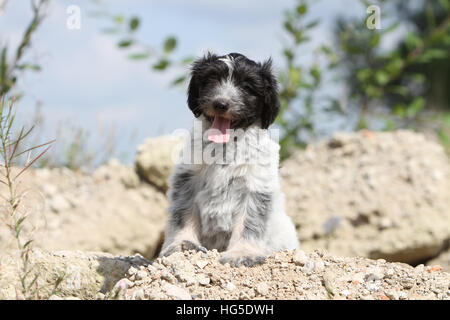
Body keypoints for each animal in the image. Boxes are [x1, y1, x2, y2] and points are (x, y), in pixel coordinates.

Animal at [159, 53, 298, 268]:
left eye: (247, 87)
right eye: (212, 79)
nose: (221, 104)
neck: (226, 146)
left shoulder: (256, 185)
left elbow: (249, 222)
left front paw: (242, 253)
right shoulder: (187, 179)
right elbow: (183, 214)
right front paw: (182, 243)